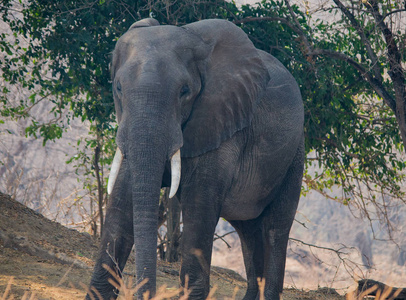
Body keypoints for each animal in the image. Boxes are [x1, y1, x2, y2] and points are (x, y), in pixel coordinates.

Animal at [86, 18, 304, 300]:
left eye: (185, 91)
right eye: (118, 88)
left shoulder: (222, 121)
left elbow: (199, 204)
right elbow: (122, 202)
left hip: (295, 155)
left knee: (275, 229)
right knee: (248, 231)